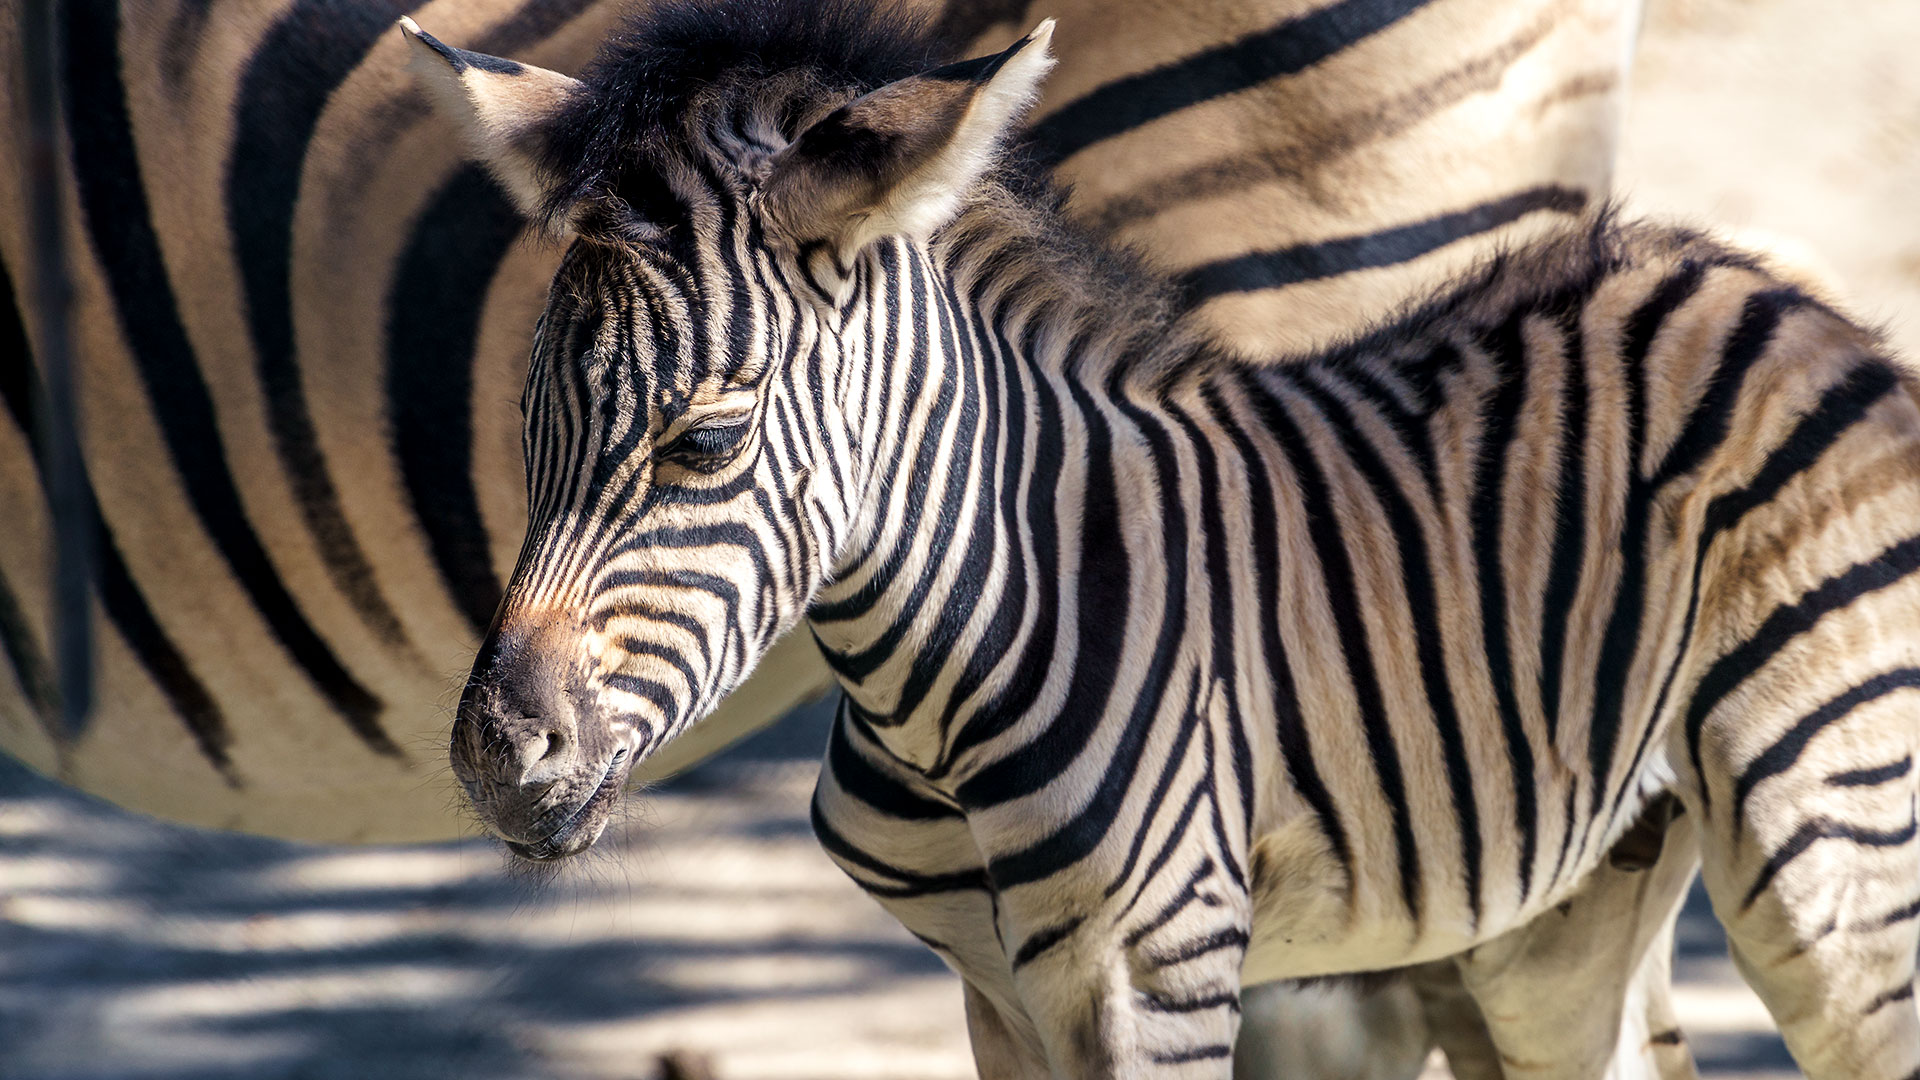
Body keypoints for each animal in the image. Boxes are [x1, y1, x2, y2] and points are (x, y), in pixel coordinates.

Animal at [412, 3, 1920, 1076]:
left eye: (709, 444)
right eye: (526, 422)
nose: (493, 759)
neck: (947, 667)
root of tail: (1779, 291)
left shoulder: (1157, 972)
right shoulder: (994, 995)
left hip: (1831, 845)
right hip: (1570, 911)